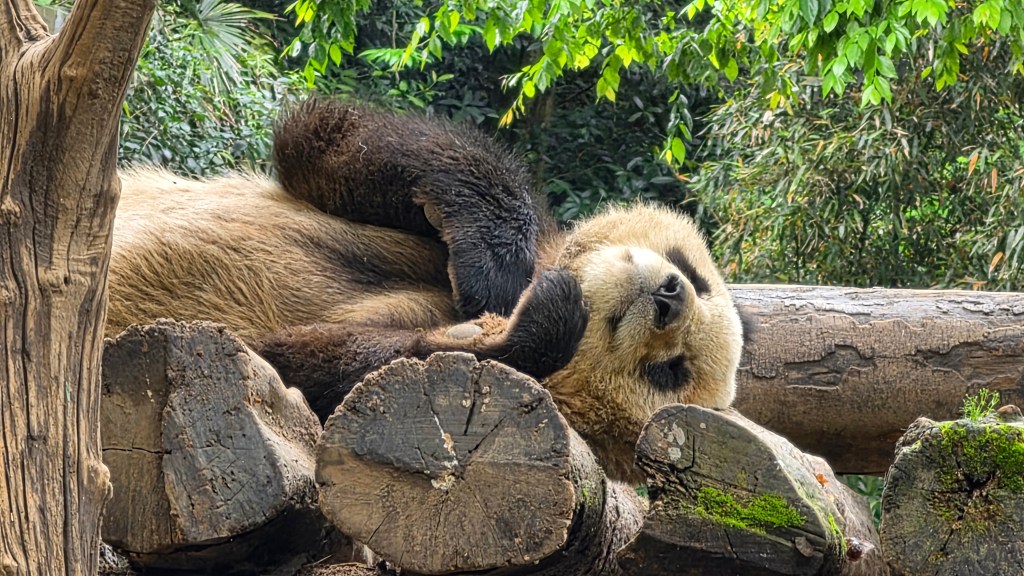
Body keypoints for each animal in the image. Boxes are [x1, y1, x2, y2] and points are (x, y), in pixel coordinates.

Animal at [109, 97, 750, 482]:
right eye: (694, 273)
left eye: (669, 371)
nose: (670, 297)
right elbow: (333, 142)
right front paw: (494, 270)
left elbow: (301, 363)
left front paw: (514, 330)